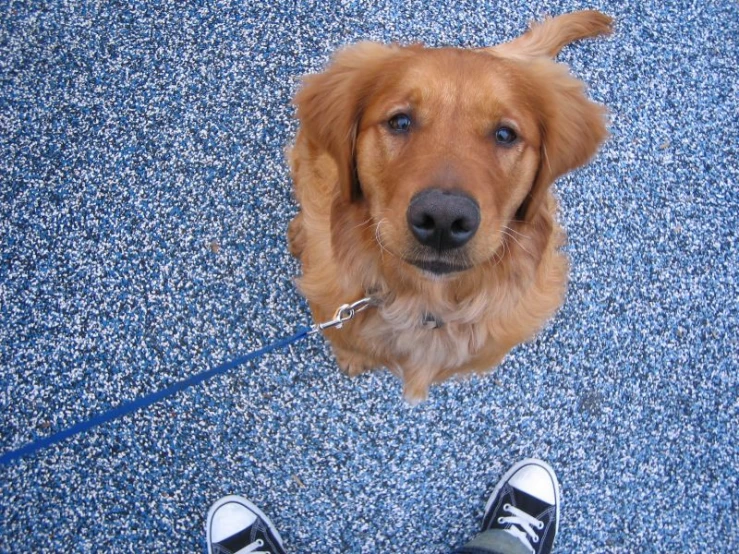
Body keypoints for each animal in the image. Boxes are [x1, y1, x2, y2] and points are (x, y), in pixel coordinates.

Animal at [290, 7, 612, 396]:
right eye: (399, 121)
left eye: (505, 134)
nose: (443, 219)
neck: (426, 302)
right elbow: (348, 342)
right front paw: (353, 358)